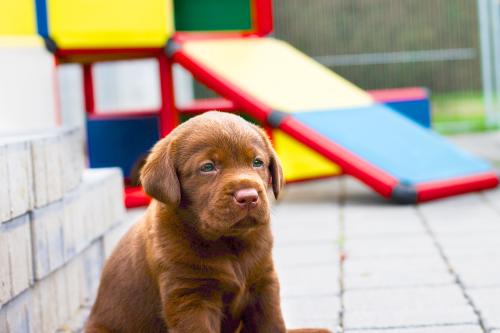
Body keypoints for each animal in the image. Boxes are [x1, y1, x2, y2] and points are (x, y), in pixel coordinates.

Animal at [86, 111, 332, 332]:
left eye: (257, 162)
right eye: (207, 167)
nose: (248, 196)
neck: (230, 244)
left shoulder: (264, 284)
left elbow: (272, 325)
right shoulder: (190, 298)